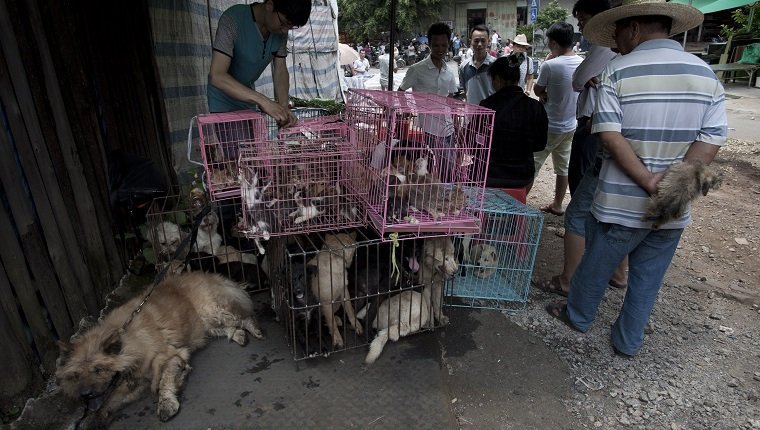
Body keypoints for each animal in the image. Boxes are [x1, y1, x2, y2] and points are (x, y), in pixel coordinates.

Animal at [55, 272, 264, 426]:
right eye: (75, 376)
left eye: (99, 370)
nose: (84, 394)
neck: (129, 342)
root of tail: (213, 276)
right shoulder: (133, 382)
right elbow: (110, 401)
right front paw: (95, 420)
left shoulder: (172, 356)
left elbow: (165, 381)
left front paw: (166, 404)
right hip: (206, 324)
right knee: (228, 327)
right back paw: (238, 335)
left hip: (213, 312)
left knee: (243, 317)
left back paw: (255, 329)